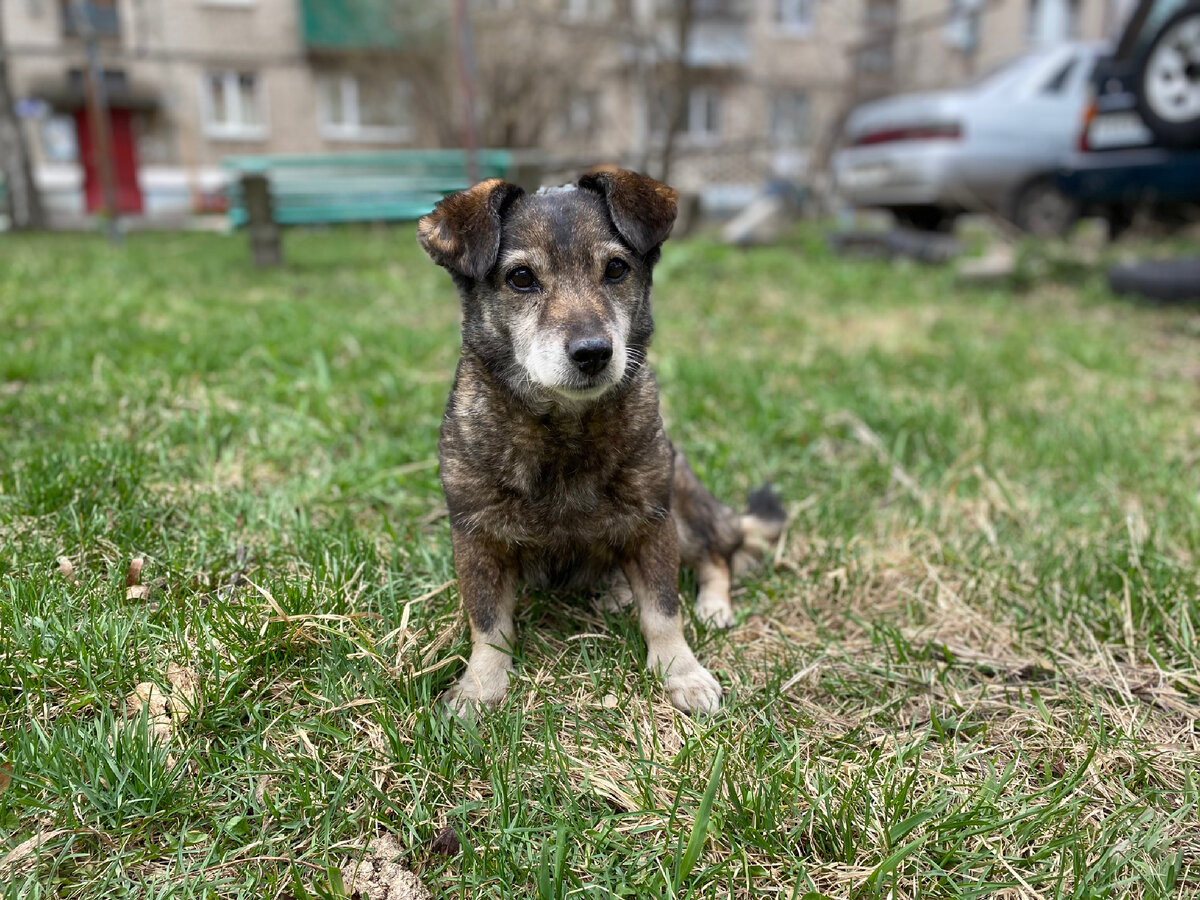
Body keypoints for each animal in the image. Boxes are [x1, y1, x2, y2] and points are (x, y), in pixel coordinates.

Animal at [417, 168, 782, 720]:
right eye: (520, 278)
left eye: (615, 269)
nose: (593, 352)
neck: (565, 431)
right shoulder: (476, 536)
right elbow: (488, 623)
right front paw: (481, 686)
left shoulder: (653, 523)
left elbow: (663, 610)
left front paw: (681, 671)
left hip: (683, 503)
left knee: (718, 555)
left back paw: (712, 605)